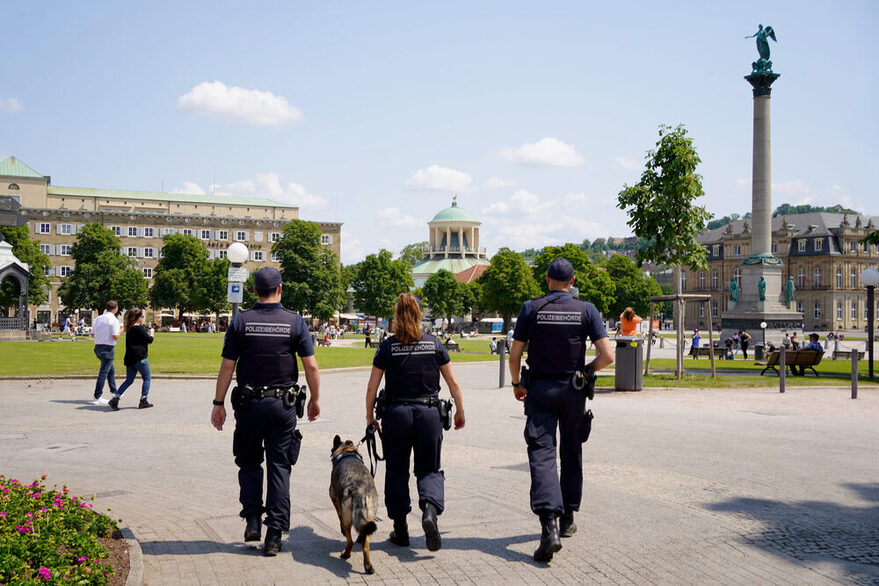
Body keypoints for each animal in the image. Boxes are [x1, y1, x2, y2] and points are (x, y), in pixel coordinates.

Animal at [330, 436, 378, 572]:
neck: (346, 452)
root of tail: (359, 490)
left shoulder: (334, 498)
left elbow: (339, 516)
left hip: (348, 519)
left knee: (349, 540)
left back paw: (346, 554)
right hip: (370, 516)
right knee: (365, 544)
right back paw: (368, 566)